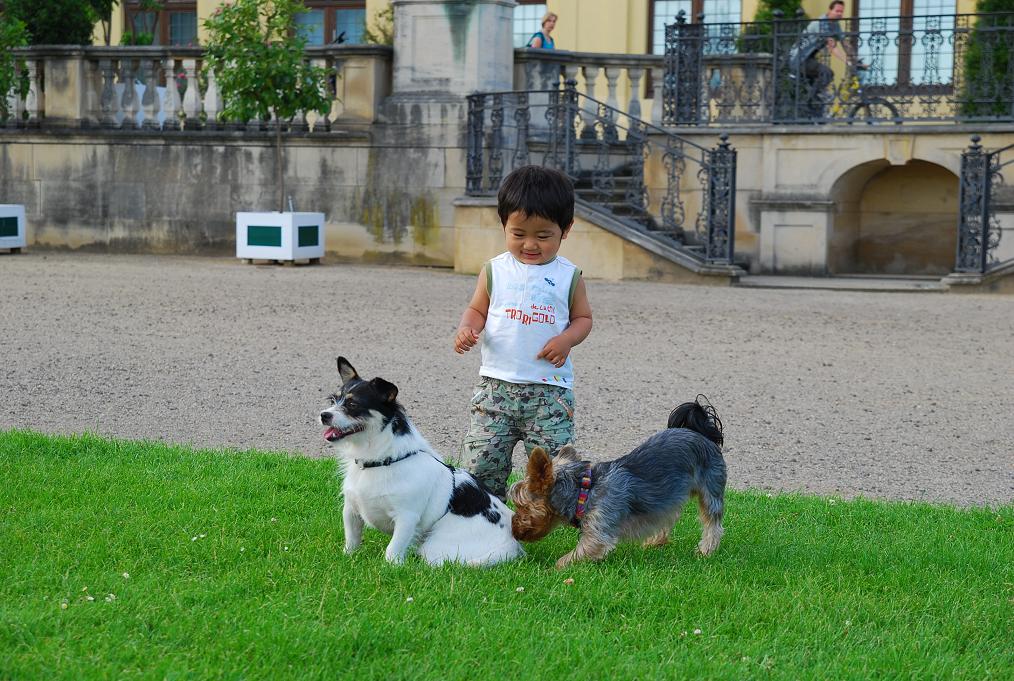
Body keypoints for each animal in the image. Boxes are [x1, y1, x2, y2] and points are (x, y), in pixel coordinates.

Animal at [319, 357, 523, 567]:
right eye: (333, 400)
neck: (381, 461)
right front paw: (347, 557)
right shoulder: (351, 510)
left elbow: (393, 549)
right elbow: (352, 539)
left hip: (434, 546)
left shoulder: (406, 517)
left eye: (353, 404)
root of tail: (510, 545)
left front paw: (390, 567)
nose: (324, 415)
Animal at [509, 397, 726, 569]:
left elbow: (570, 557)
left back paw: (705, 551)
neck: (584, 492)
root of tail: (703, 435)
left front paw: (551, 571)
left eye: (521, 506)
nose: (514, 529)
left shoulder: (597, 534)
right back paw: (656, 541)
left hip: (711, 488)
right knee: (668, 514)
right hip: (670, 492)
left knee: (712, 522)